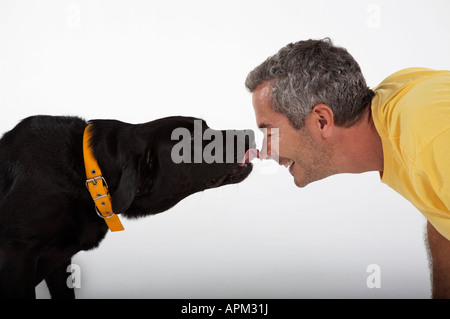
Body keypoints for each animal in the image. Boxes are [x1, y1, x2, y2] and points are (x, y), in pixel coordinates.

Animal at [0, 115, 253, 300]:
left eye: (206, 126)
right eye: (189, 138)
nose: (248, 134)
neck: (88, 172)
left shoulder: (60, 262)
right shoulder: (17, 255)